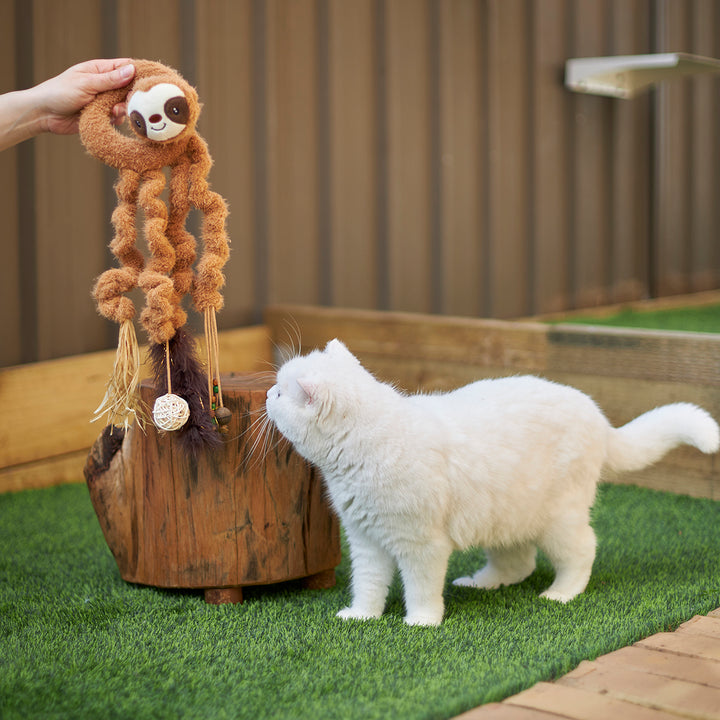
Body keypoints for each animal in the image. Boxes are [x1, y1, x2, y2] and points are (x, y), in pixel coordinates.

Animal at [266, 338, 720, 624]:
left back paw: (560, 594)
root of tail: (600, 418)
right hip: (504, 518)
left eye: (282, 393)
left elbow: (421, 590)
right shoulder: (366, 542)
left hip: (559, 521)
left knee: (582, 553)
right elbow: (368, 585)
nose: (268, 394)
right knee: (518, 563)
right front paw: (362, 617)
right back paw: (481, 584)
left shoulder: (422, 546)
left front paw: (421, 623)